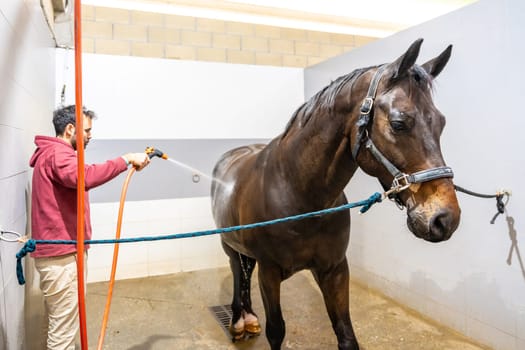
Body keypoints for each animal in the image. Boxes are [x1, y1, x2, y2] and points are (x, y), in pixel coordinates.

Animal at [211, 39, 460, 350]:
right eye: (398, 123)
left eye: (441, 123)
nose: (445, 218)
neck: (300, 195)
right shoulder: (270, 273)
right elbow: (276, 331)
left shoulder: (335, 269)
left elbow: (346, 334)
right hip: (229, 244)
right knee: (237, 272)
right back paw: (238, 321)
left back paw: (249, 318)